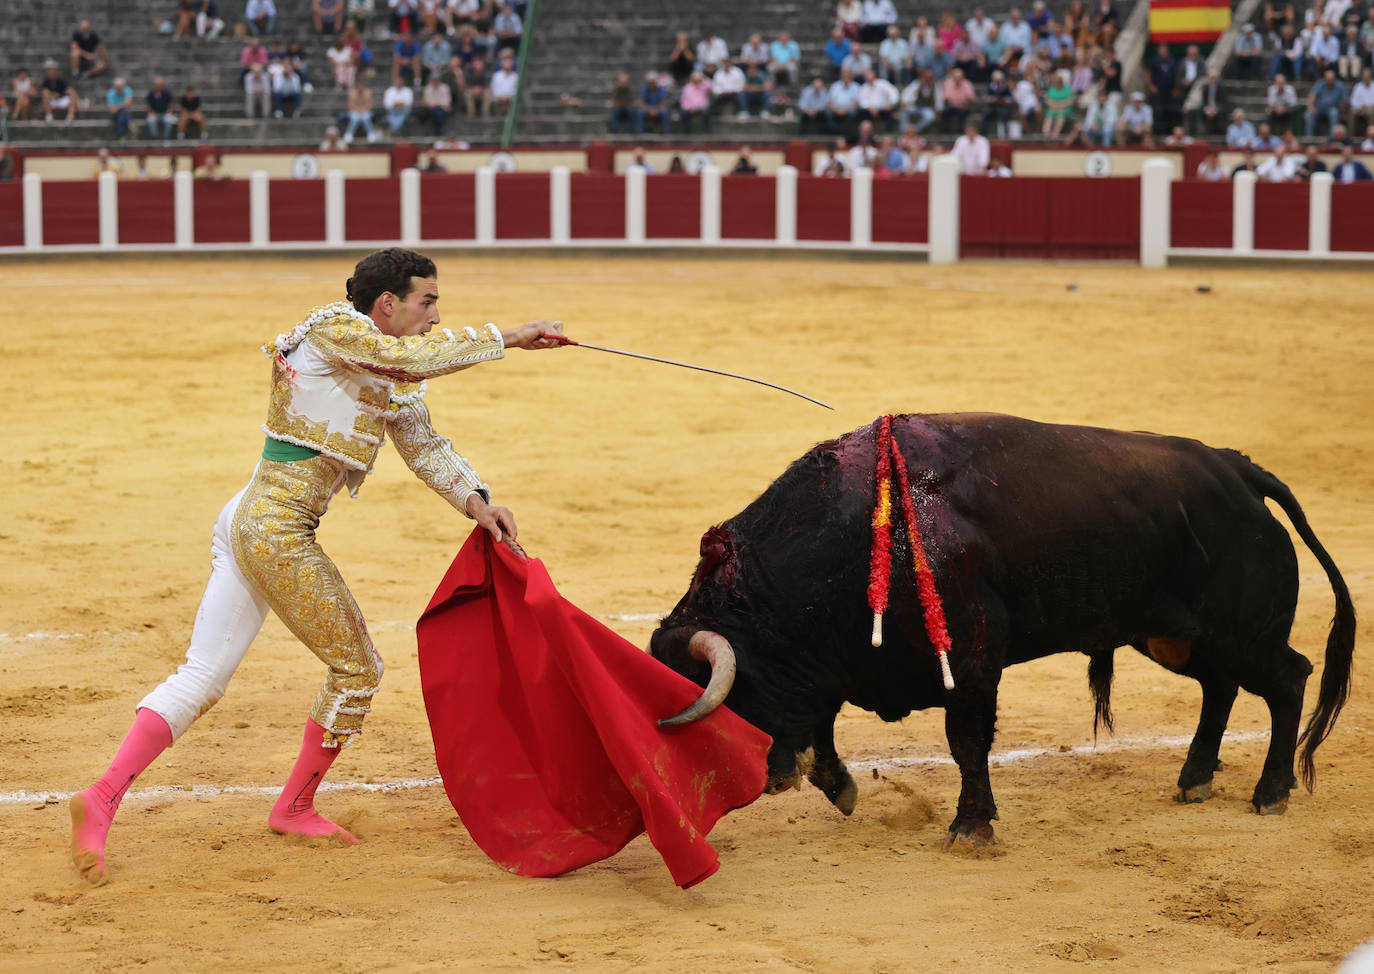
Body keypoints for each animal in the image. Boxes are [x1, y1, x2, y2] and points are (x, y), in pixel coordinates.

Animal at [648, 414, 1357, 840]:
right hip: (1173, 634)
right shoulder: (837, 661)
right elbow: (822, 721)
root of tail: (1236, 467)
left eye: (727, 701)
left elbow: (967, 743)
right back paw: (1196, 780)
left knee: (1288, 679)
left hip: (1238, 630)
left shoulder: (970, 661)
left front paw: (972, 828)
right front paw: (842, 787)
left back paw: (1270, 792)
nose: (764, 781)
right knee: (1221, 687)